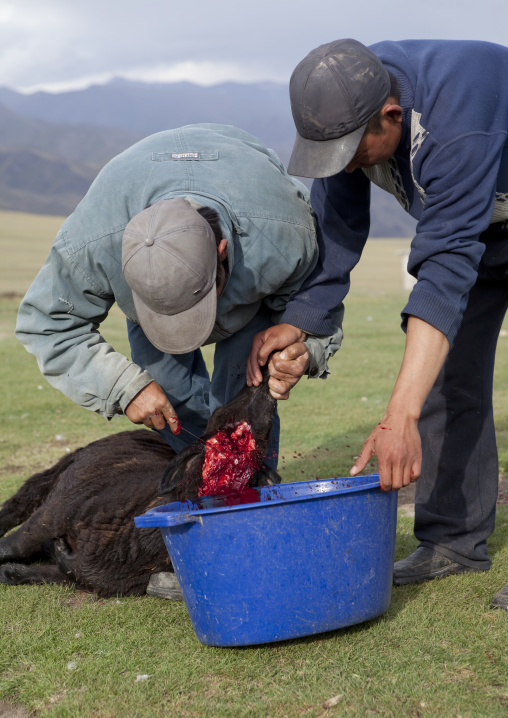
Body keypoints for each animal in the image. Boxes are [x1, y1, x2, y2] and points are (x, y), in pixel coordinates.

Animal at [0, 365, 279, 597]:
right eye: (232, 428)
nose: (263, 374)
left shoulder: (83, 577)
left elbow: (26, 572)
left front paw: (11, 572)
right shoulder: (52, 516)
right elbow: (12, 548)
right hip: (56, 478)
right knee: (19, 503)